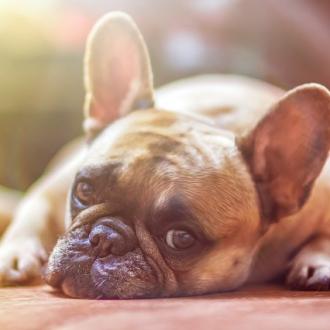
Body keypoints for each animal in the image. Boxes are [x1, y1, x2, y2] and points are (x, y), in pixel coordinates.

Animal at [0, 11, 330, 298]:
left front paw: (317, 259)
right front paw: (15, 252)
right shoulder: (54, 188)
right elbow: (33, 210)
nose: (105, 238)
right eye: (84, 190)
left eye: (180, 238)